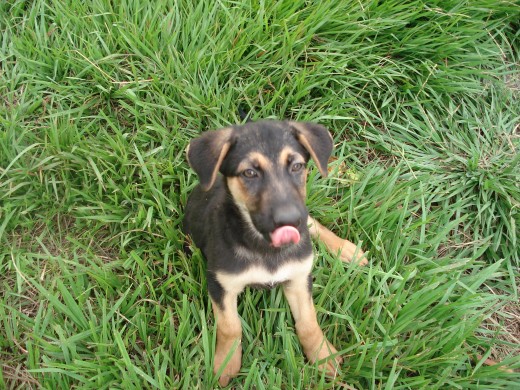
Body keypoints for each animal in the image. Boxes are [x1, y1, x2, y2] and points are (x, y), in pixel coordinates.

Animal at [183, 120, 366, 386]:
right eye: (249, 173)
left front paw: (322, 355)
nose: (289, 221)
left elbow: (308, 322)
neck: (264, 247)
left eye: (297, 166)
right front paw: (226, 364)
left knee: (313, 223)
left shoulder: (299, 278)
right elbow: (230, 327)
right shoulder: (220, 284)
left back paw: (347, 250)